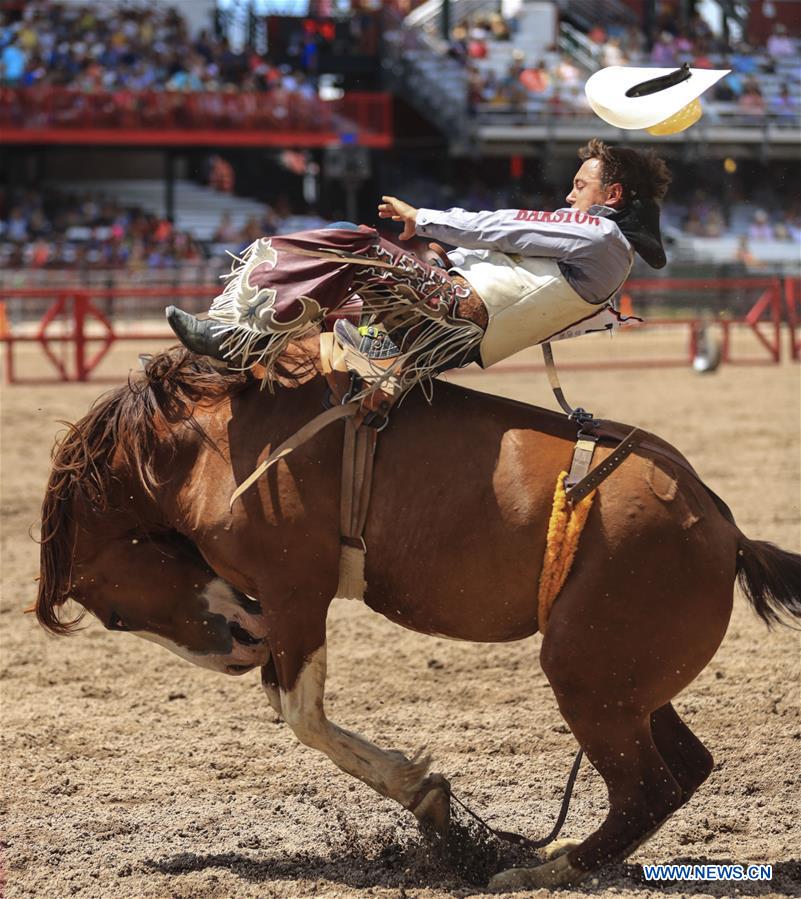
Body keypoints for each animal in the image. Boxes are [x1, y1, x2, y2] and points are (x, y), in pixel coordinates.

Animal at [36, 348, 800, 888]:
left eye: (112, 616)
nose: (234, 653)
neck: (205, 447)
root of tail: (724, 528)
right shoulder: (276, 613)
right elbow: (288, 703)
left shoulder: (293, 593)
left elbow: (302, 713)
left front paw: (430, 802)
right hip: (629, 682)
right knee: (683, 769)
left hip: (586, 676)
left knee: (646, 788)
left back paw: (535, 869)